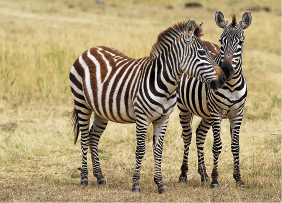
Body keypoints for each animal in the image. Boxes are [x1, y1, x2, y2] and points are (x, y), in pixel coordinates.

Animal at [70, 18, 227, 193]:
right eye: (201, 53)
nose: (223, 79)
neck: (166, 84)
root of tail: (90, 49)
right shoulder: (142, 118)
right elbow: (140, 150)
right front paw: (136, 184)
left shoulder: (163, 119)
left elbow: (158, 150)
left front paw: (160, 183)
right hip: (82, 103)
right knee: (84, 137)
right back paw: (84, 177)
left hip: (101, 111)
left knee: (93, 137)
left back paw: (99, 176)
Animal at [177, 10, 252, 189]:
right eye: (221, 41)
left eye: (241, 42)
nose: (226, 70)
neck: (231, 85)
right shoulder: (217, 112)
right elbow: (217, 146)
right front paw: (215, 179)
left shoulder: (237, 114)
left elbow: (235, 146)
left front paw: (238, 179)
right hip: (184, 108)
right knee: (188, 136)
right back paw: (183, 174)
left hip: (206, 114)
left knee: (199, 135)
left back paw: (204, 174)